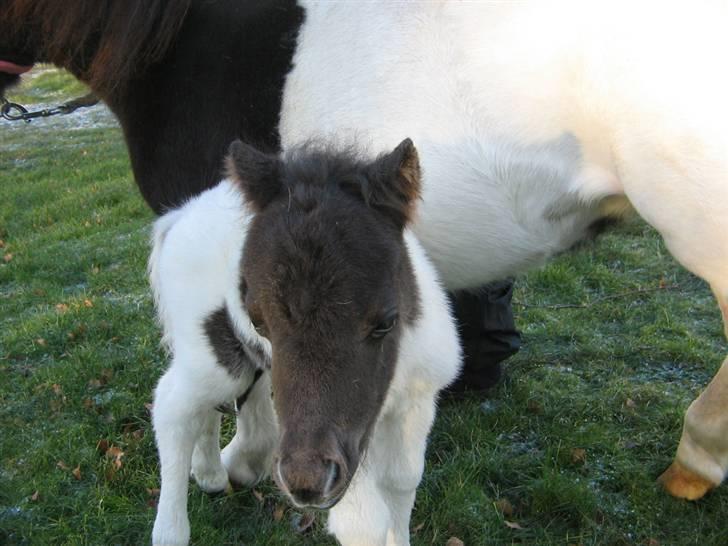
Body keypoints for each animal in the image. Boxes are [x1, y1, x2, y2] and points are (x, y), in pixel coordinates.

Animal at [149, 138, 460, 540]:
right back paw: (171, 529)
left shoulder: (414, 402)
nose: (305, 483)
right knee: (174, 404)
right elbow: (364, 525)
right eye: (258, 321)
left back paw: (211, 474)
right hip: (212, 356)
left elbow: (402, 483)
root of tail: (181, 215)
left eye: (386, 322)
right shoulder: (347, 444)